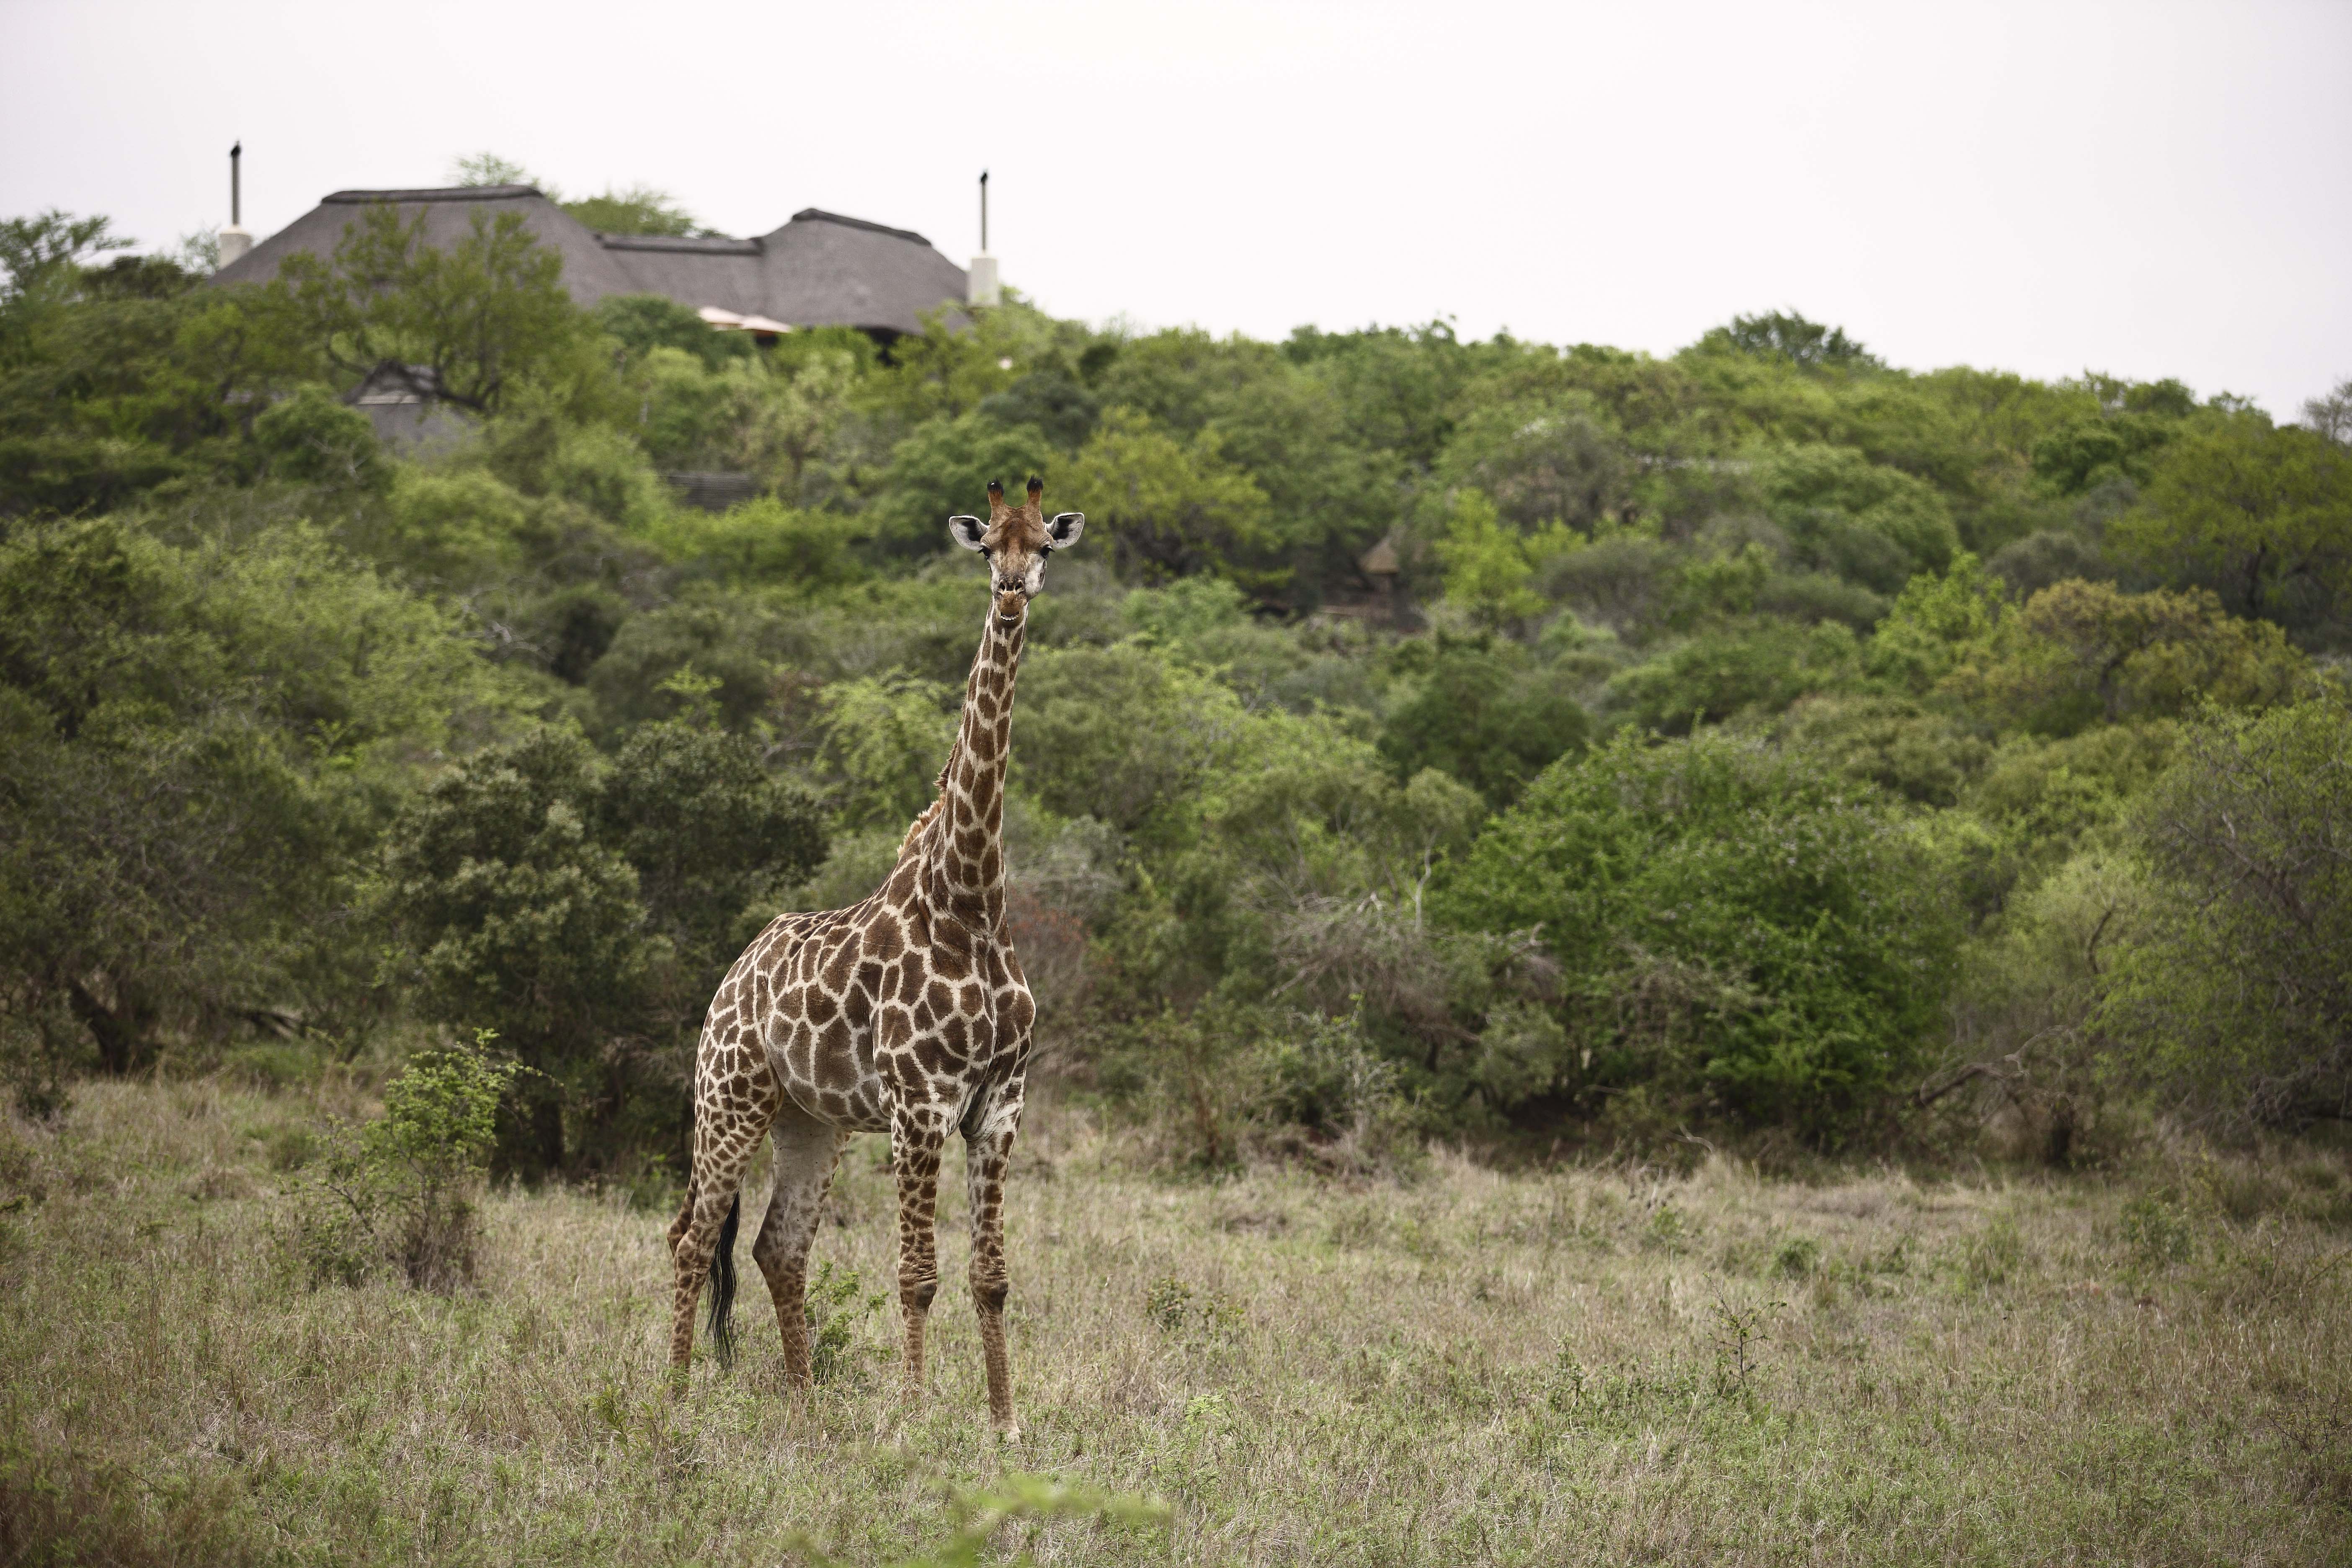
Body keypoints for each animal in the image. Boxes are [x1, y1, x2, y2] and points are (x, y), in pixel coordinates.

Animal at [665, 475, 1083, 1438]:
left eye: (1044, 545)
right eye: (985, 547)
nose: (1011, 593)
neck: (972, 896)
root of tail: (730, 977)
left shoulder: (1000, 1104)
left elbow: (991, 1277)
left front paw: (1005, 1424)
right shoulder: (921, 1102)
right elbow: (917, 1274)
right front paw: (918, 1413)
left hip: (808, 1120)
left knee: (777, 1246)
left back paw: (804, 1404)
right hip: (729, 1098)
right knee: (692, 1237)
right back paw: (670, 1400)